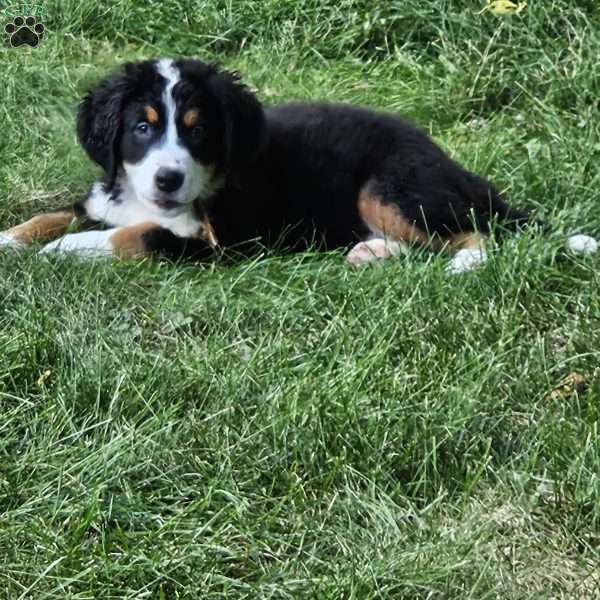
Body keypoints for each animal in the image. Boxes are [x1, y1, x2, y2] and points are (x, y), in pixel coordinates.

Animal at [0, 58, 596, 270]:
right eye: (142, 128)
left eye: (199, 130)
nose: (168, 179)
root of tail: (455, 167)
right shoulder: (107, 194)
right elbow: (57, 214)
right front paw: (11, 238)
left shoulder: (219, 242)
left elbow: (137, 235)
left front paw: (70, 250)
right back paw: (371, 252)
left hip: (389, 187)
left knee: (475, 234)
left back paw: (464, 264)